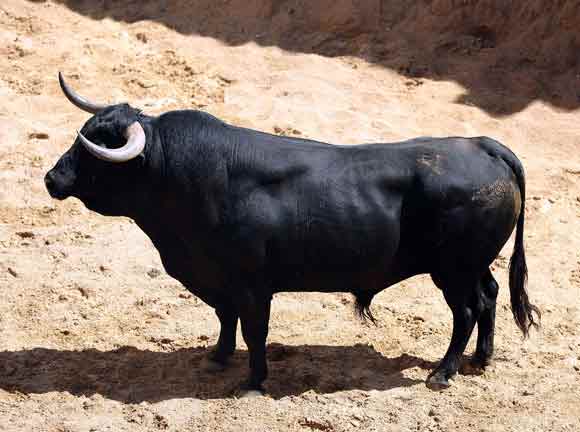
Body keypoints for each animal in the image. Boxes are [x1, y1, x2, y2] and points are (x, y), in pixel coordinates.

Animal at [45, 75, 540, 394]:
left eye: (98, 149)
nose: (51, 179)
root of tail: (483, 145)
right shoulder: (219, 278)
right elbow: (225, 318)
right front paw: (217, 358)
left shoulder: (251, 284)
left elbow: (254, 330)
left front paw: (252, 382)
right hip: (474, 264)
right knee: (490, 296)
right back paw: (480, 359)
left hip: (452, 269)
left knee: (467, 310)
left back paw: (443, 373)